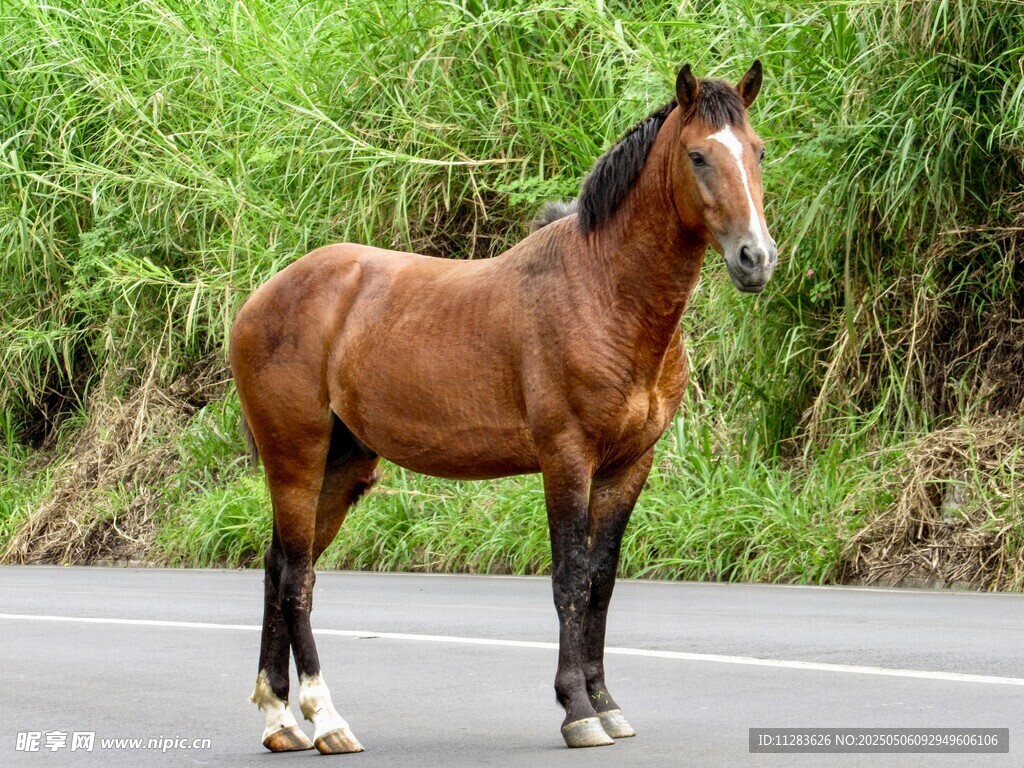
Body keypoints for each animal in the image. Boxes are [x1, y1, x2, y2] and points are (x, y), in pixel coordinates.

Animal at [229, 60, 776, 753]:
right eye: (698, 155)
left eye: (757, 150)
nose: (756, 258)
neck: (604, 291)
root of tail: (260, 299)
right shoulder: (567, 459)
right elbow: (569, 577)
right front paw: (577, 710)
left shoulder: (629, 466)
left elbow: (600, 581)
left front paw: (606, 703)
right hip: (296, 459)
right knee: (297, 578)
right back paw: (326, 718)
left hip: (342, 466)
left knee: (277, 568)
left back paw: (279, 720)